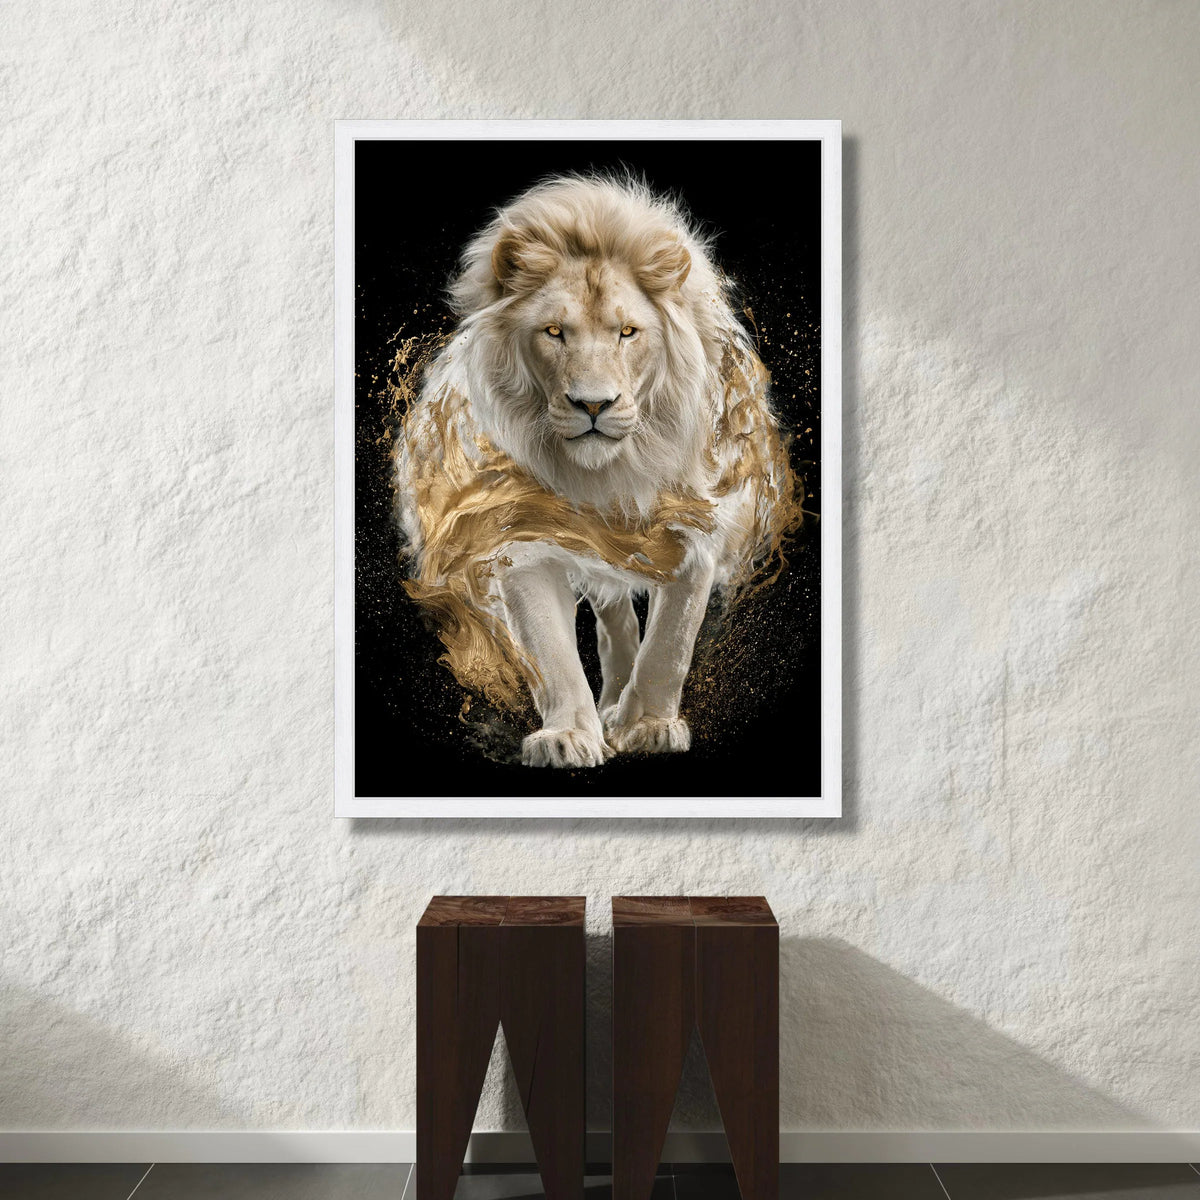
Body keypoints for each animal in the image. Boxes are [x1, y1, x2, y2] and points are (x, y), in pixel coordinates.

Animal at [393, 175, 801, 768]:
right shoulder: (519, 540)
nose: (593, 404)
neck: (606, 477)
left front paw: (650, 725)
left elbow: (670, 644)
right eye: (554, 332)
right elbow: (552, 652)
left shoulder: (698, 527)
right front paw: (567, 736)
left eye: (628, 332)